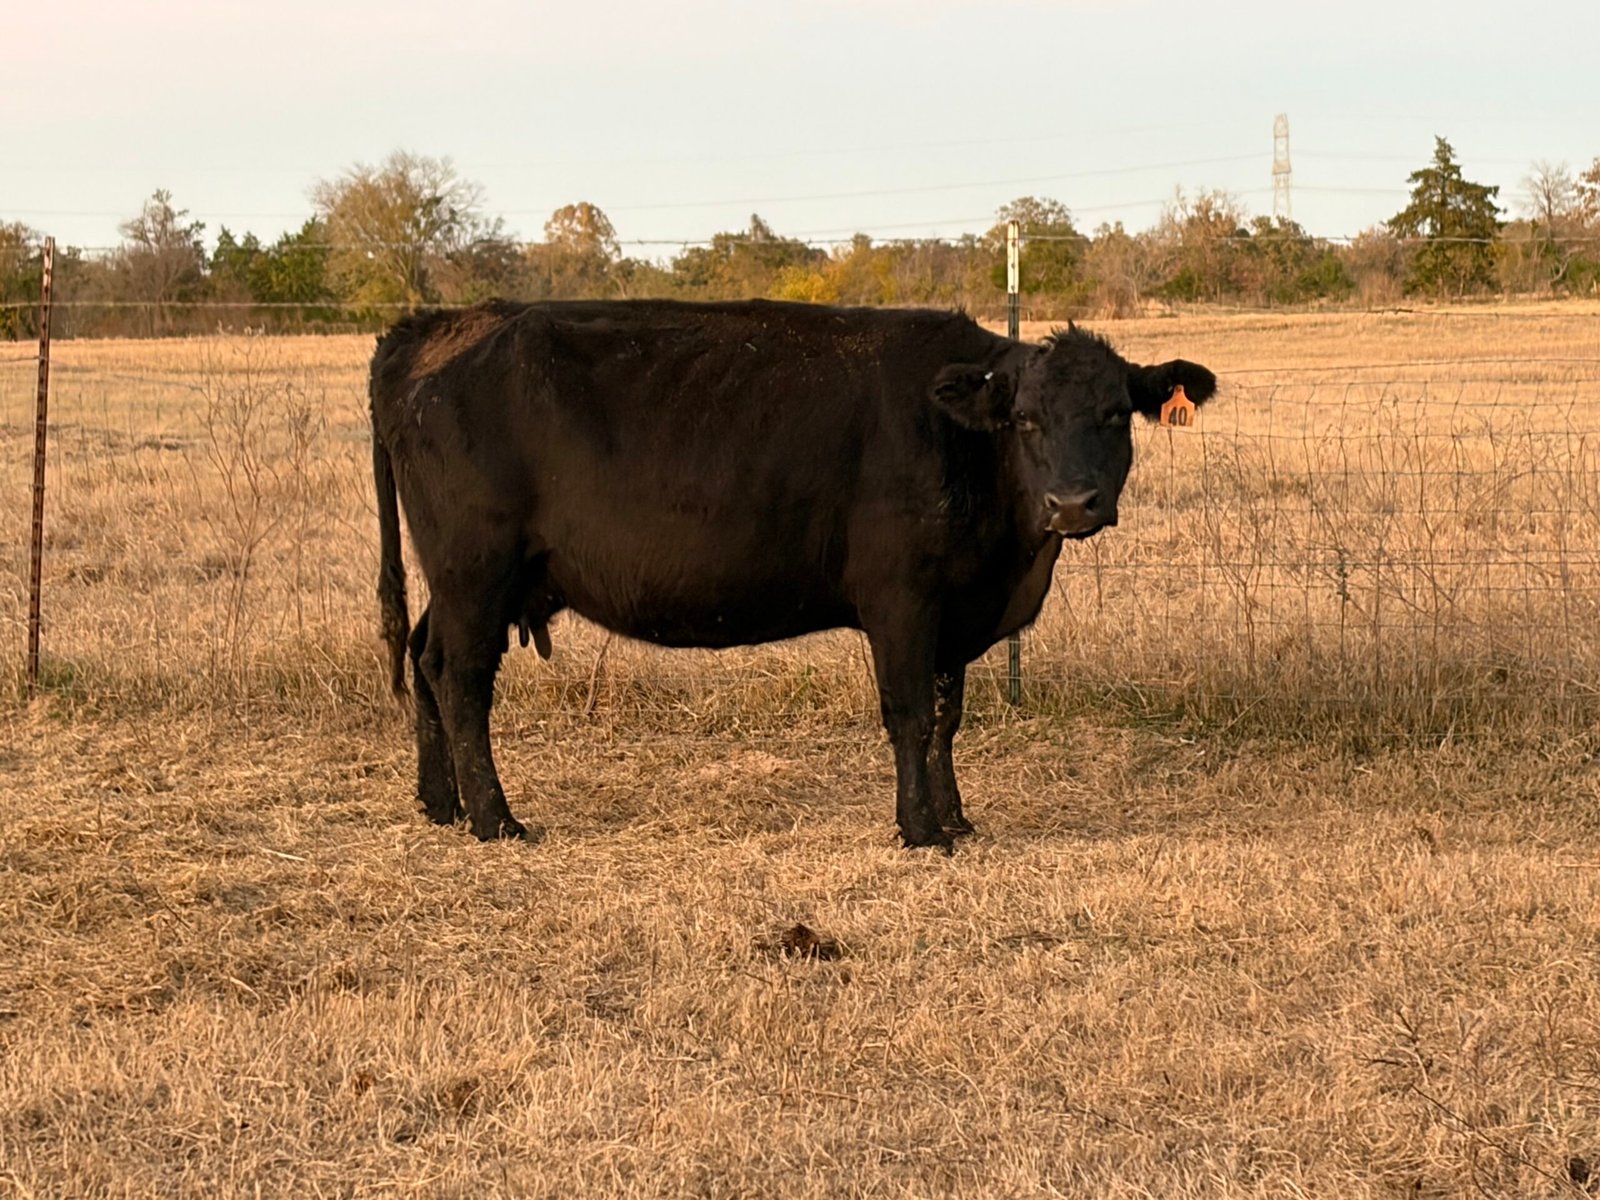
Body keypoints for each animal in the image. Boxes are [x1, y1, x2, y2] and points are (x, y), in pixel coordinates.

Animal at [370, 298, 1216, 852]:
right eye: (1026, 420)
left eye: (1115, 414)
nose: (1071, 502)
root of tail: (443, 325)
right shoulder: (902, 601)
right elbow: (910, 714)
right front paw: (920, 830)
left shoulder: (952, 613)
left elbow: (948, 717)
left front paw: (957, 817)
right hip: (476, 572)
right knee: (460, 677)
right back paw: (495, 820)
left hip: (464, 581)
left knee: (424, 656)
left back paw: (441, 804)